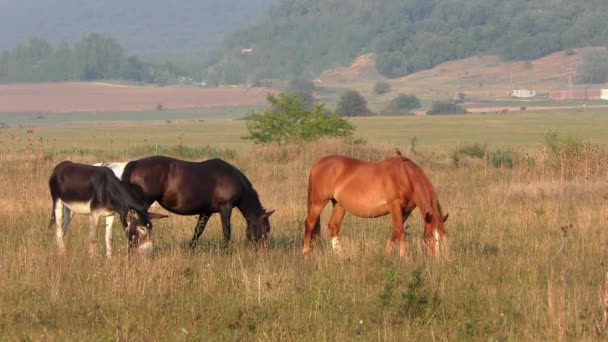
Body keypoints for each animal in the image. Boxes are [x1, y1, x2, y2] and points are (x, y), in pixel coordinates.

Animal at [122, 156, 274, 247]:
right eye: (266, 228)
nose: (264, 249)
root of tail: (135, 164)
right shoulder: (226, 207)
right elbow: (226, 230)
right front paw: (226, 250)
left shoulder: (206, 211)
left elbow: (198, 231)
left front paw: (191, 248)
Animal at [302, 154, 448, 256]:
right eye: (429, 236)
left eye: (442, 235)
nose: (437, 259)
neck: (405, 176)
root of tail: (318, 162)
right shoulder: (394, 206)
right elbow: (400, 231)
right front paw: (404, 257)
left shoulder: (406, 211)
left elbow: (395, 231)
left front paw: (387, 253)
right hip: (318, 202)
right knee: (309, 224)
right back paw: (306, 254)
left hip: (339, 204)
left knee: (333, 226)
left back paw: (340, 256)